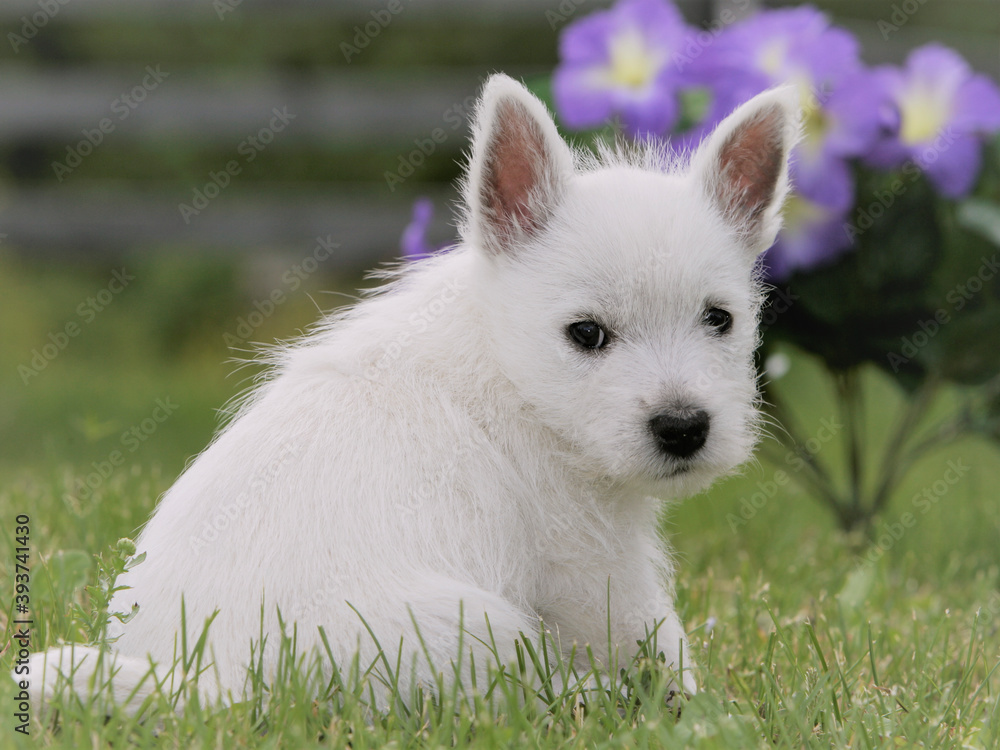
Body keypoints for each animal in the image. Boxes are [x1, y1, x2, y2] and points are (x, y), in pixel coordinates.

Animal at [27, 76, 800, 716]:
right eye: (586, 334)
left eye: (720, 319)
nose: (684, 427)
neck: (508, 372)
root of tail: (214, 682)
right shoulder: (592, 562)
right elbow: (653, 636)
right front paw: (693, 705)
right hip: (472, 626)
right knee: (526, 689)